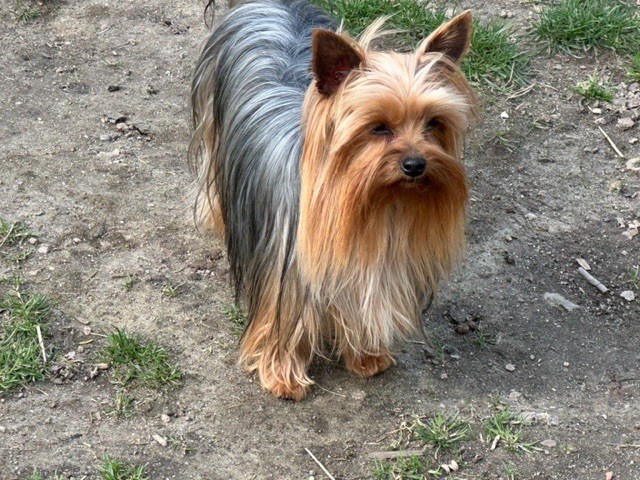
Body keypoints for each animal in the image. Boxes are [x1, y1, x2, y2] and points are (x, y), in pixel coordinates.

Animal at [189, 0, 476, 400]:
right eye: (378, 127)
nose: (416, 165)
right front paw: (283, 375)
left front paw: (367, 354)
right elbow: (282, 319)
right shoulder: (286, 271)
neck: (378, 202)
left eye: (433, 122)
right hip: (213, 117)